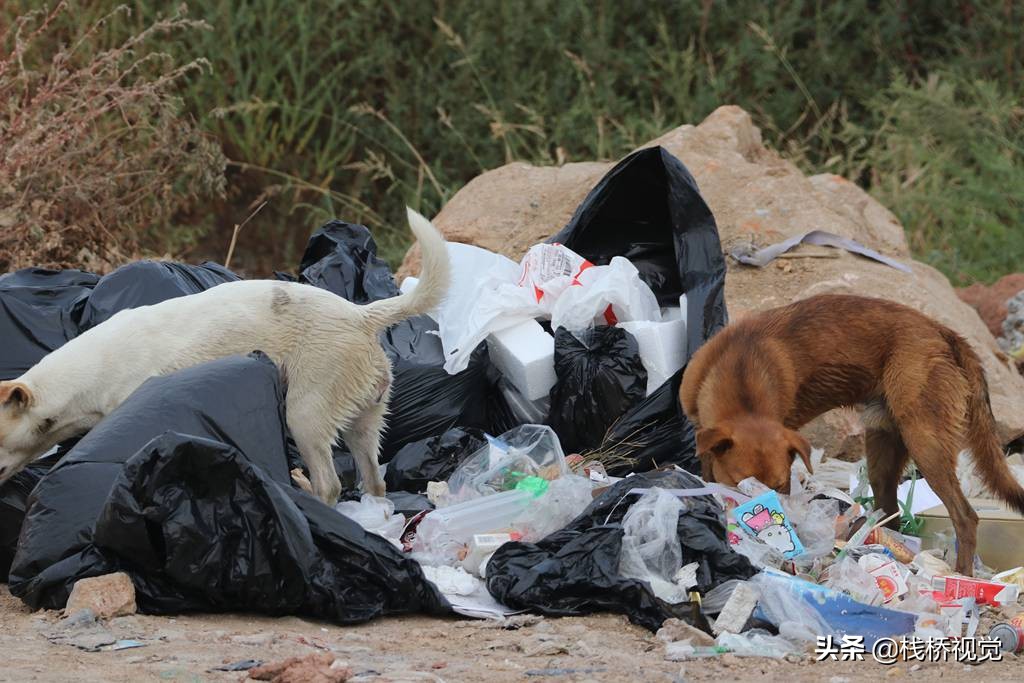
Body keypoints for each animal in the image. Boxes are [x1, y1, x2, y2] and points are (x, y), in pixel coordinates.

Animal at [0, 205, 452, 505]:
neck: (86, 373)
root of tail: (361, 315)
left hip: (306, 412)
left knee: (330, 482)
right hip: (365, 417)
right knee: (374, 478)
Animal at [679, 294, 1024, 577]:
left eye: (781, 486)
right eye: (741, 484)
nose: (778, 529)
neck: (741, 372)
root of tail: (943, 332)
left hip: (926, 444)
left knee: (966, 516)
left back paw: (960, 578)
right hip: (883, 451)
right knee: (892, 515)